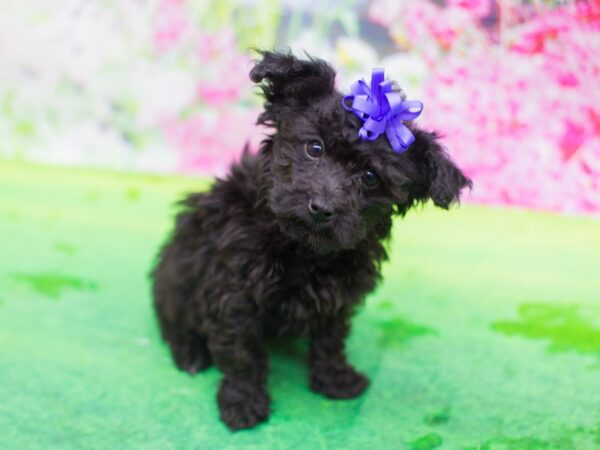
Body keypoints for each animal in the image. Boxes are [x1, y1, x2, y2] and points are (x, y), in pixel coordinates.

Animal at [152, 51, 472, 430]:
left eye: (370, 178)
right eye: (314, 148)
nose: (321, 208)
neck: (305, 250)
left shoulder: (339, 295)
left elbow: (330, 340)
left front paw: (334, 379)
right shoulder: (233, 292)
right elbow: (241, 352)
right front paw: (243, 402)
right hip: (177, 273)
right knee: (174, 318)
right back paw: (190, 352)